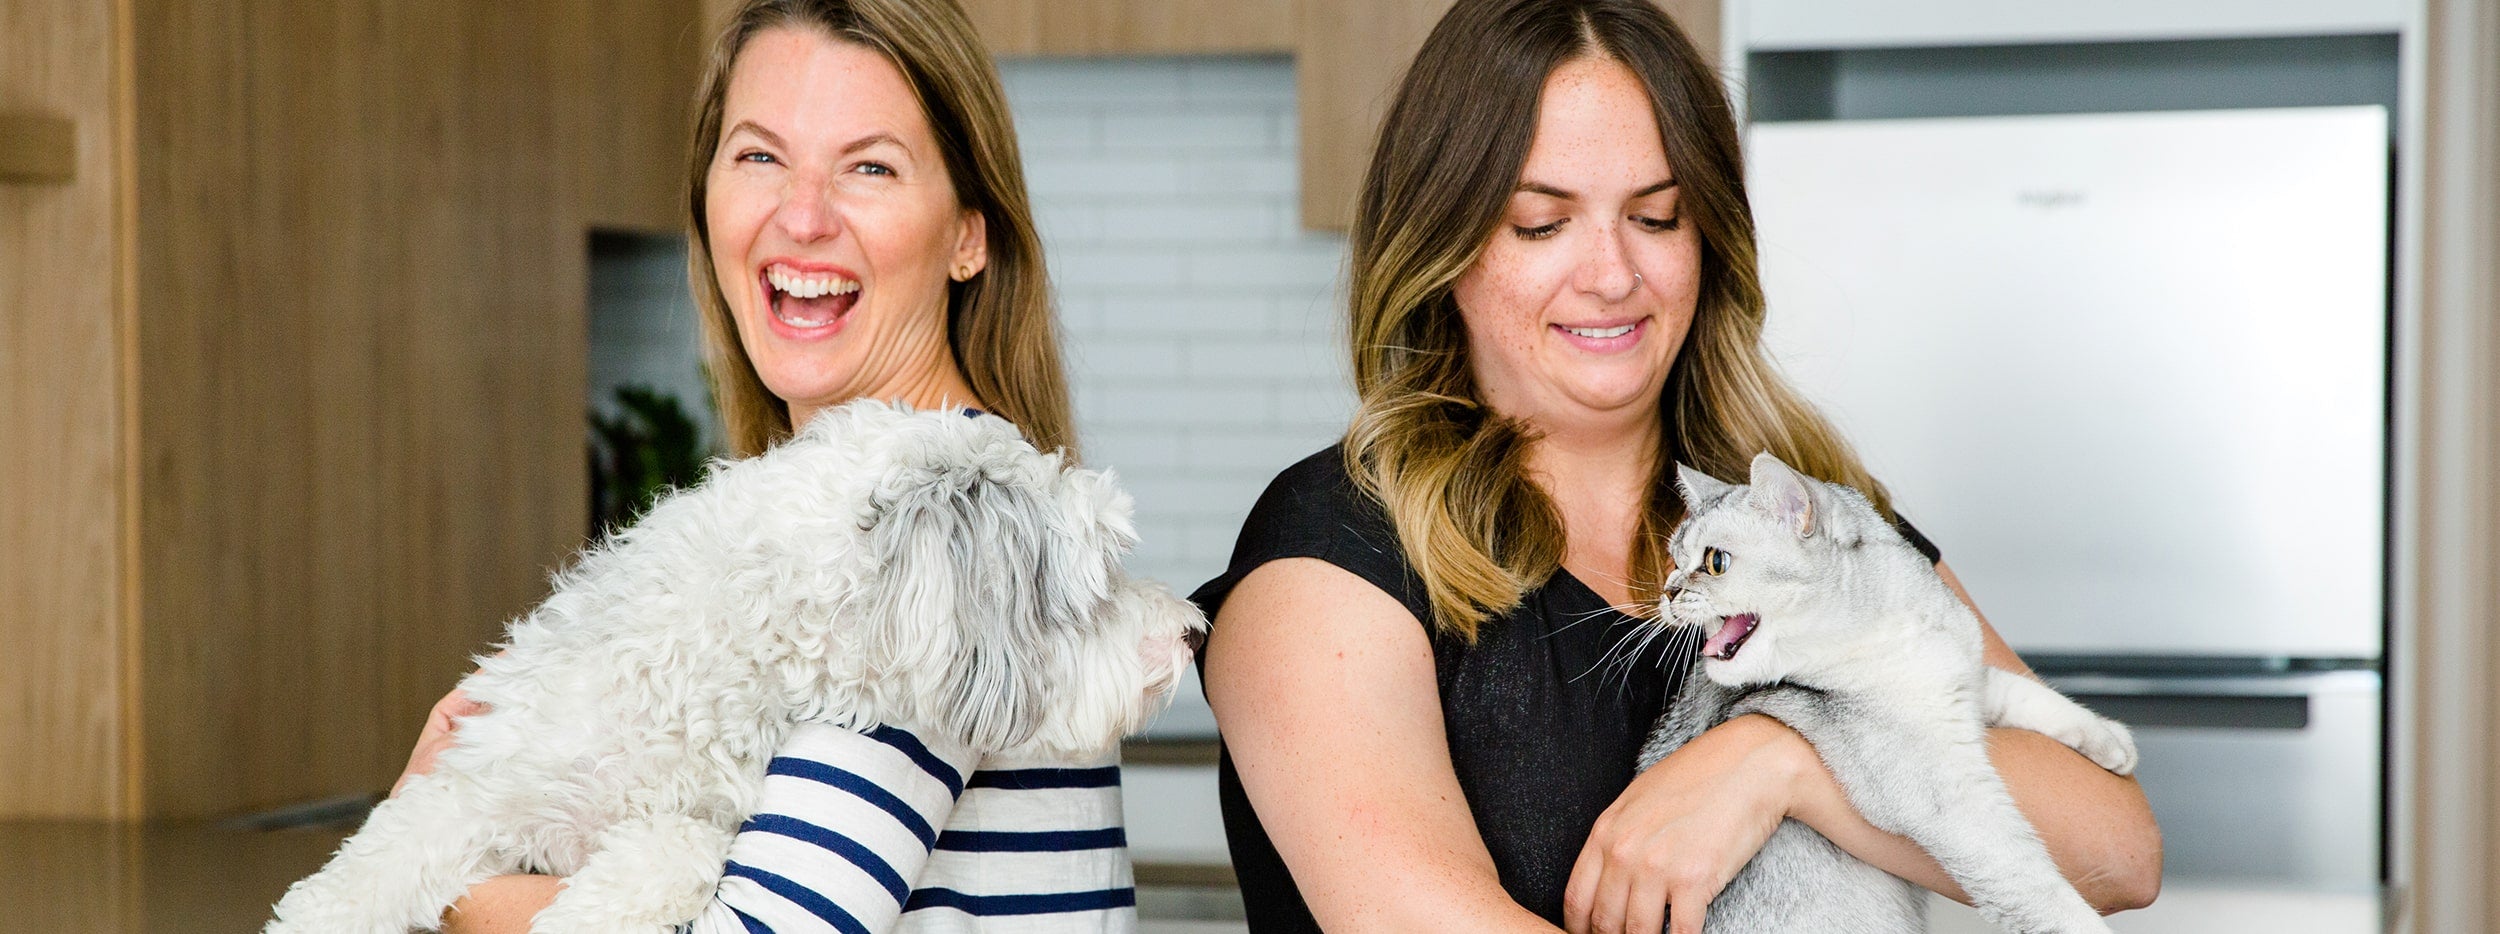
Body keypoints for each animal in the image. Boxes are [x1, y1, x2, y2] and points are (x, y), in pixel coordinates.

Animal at [268, 402, 1205, 934]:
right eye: (1103, 577)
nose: (1193, 631)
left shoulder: (696, 826)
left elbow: (671, 851)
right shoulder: (474, 792)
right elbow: (356, 880)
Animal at [1640, 454, 2150, 934]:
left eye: (1715, 562)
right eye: (1674, 561)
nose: (1667, 592)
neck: (1897, 630)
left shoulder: (1966, 680)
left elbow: (2026, 694)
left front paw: (2110, 741)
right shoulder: (1951, 799)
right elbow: (2038, 890)